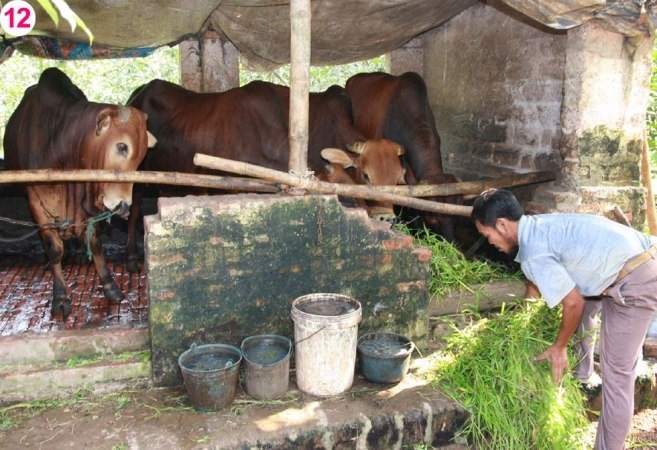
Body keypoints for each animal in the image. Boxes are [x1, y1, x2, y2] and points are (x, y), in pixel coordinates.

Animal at [4, 68, 155, 318]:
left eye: (142, 156)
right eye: (122, 146)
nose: (123, 206)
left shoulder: (86, 205)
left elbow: (95, 242)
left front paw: (110, 287)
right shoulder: (36, 200)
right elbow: (54, 248)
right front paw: (60, 297)